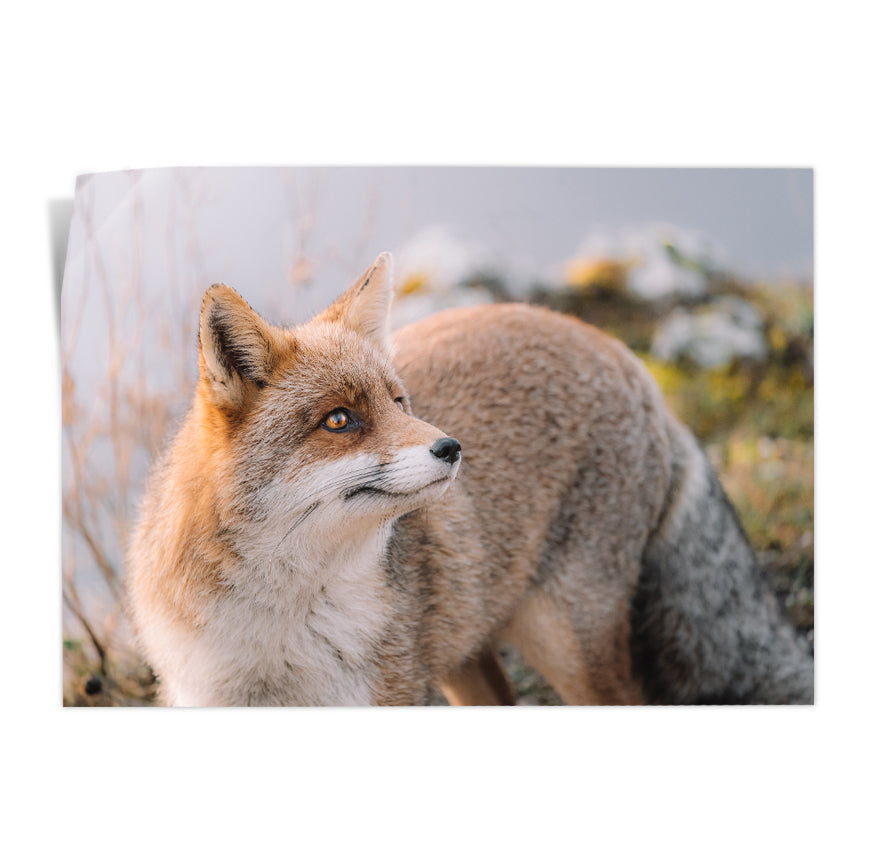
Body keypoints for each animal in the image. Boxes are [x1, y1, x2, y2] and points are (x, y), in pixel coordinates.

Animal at [126, 252, 814, 706]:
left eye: (398, 402)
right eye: (339, 420)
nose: (452, 447)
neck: (277, 633)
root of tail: (621, 352)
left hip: (566, 644)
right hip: (467, 656)